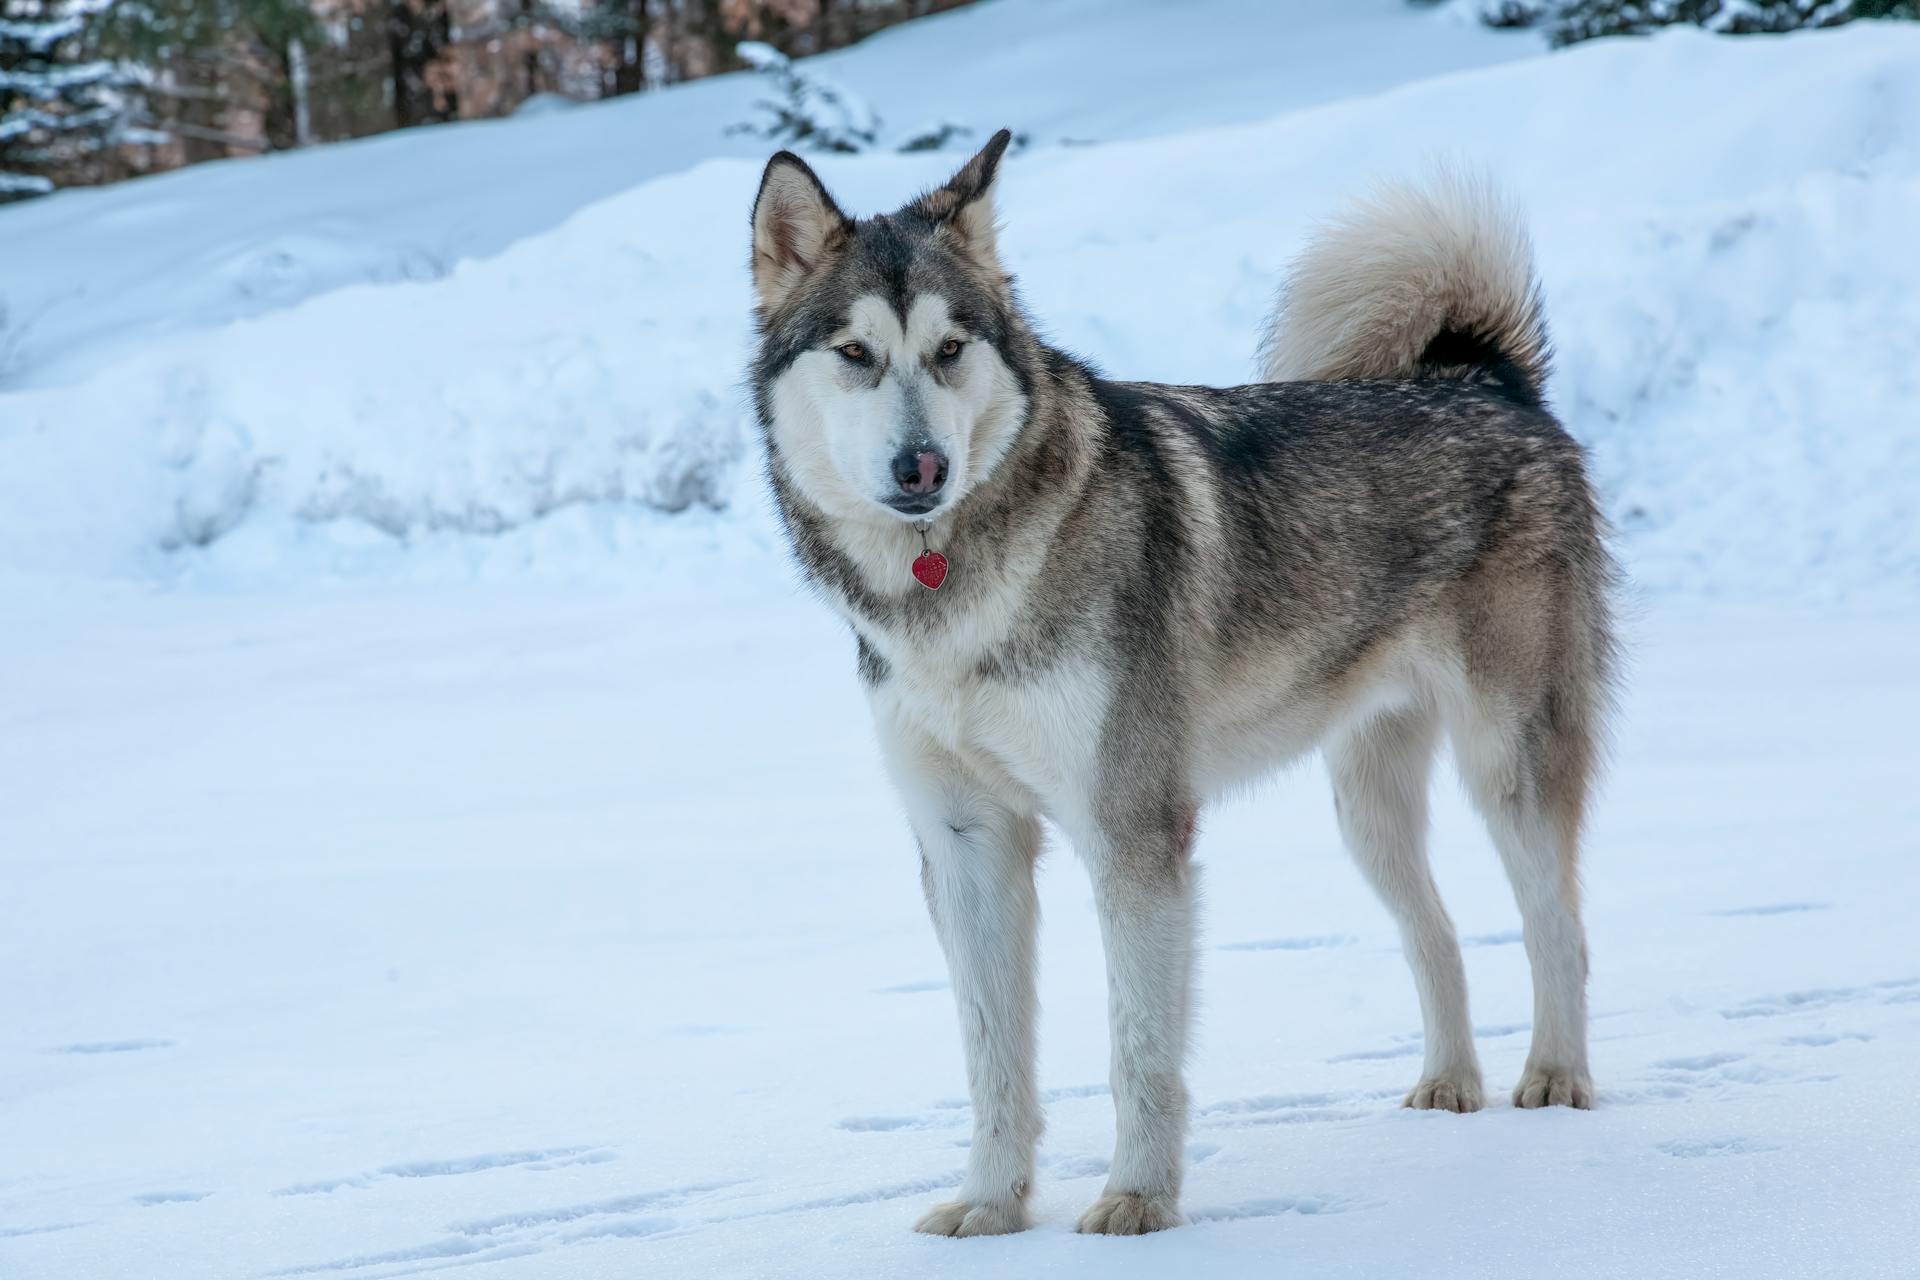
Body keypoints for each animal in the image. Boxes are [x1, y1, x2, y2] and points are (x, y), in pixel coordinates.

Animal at [748, 132, 1620, 1243]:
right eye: (855, 353)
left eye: (949, 349)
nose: (922, 467)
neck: (953, 594)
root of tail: (1488, 380)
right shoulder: (967, 842)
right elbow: (993, 1059)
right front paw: (991, 1205)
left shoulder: (1134, 833)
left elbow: (1138, 1050)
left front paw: (1137, 1199)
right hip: (1366, 809)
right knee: (1440, 937)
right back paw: (1449, 1086)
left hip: (1507, 766)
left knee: (1561, 928)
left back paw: (1554, 1081)